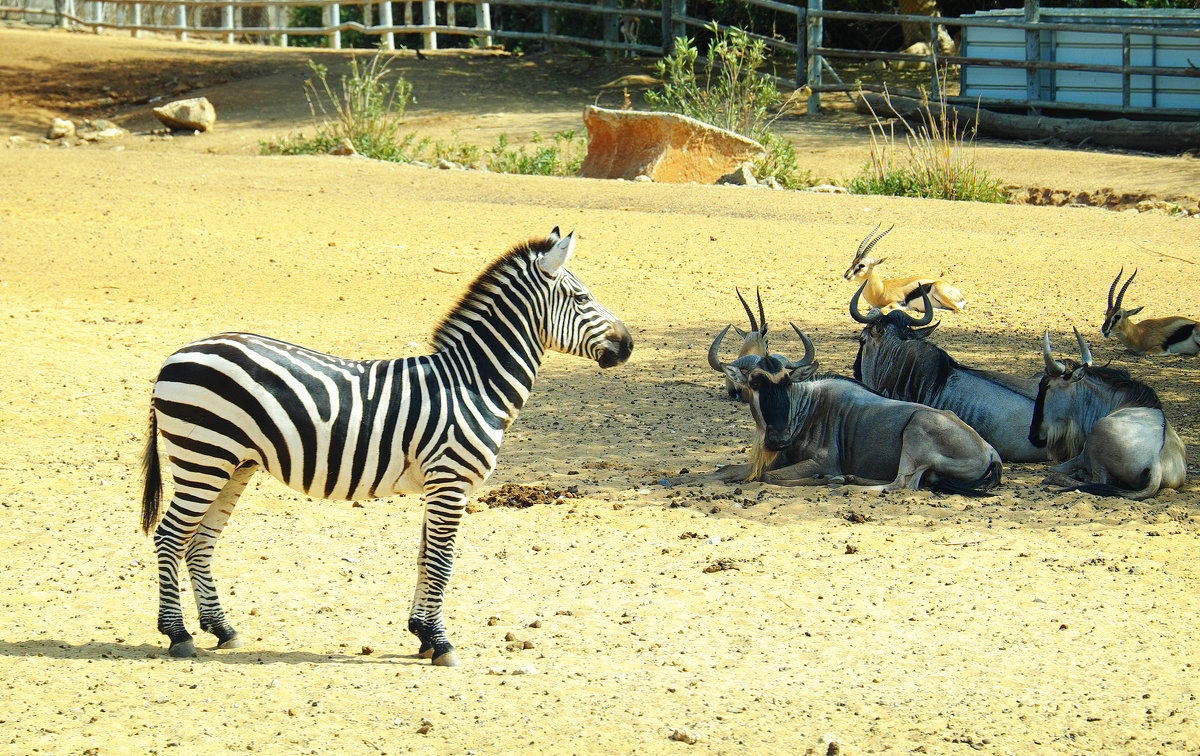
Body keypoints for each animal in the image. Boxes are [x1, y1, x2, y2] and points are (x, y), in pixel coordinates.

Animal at [140, 228, 633, 667]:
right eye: (582, 298)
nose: (628, 345)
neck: (473, 383)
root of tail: (177, 354)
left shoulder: (439, 484)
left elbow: (424, 557)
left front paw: (422, 634)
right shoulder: (452, 479)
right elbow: (442, 561)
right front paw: (441, 643)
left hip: (233, 463)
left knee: (199, 542)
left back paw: (221, 629)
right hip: (202, 456)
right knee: (170, 536)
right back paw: (178, 634)